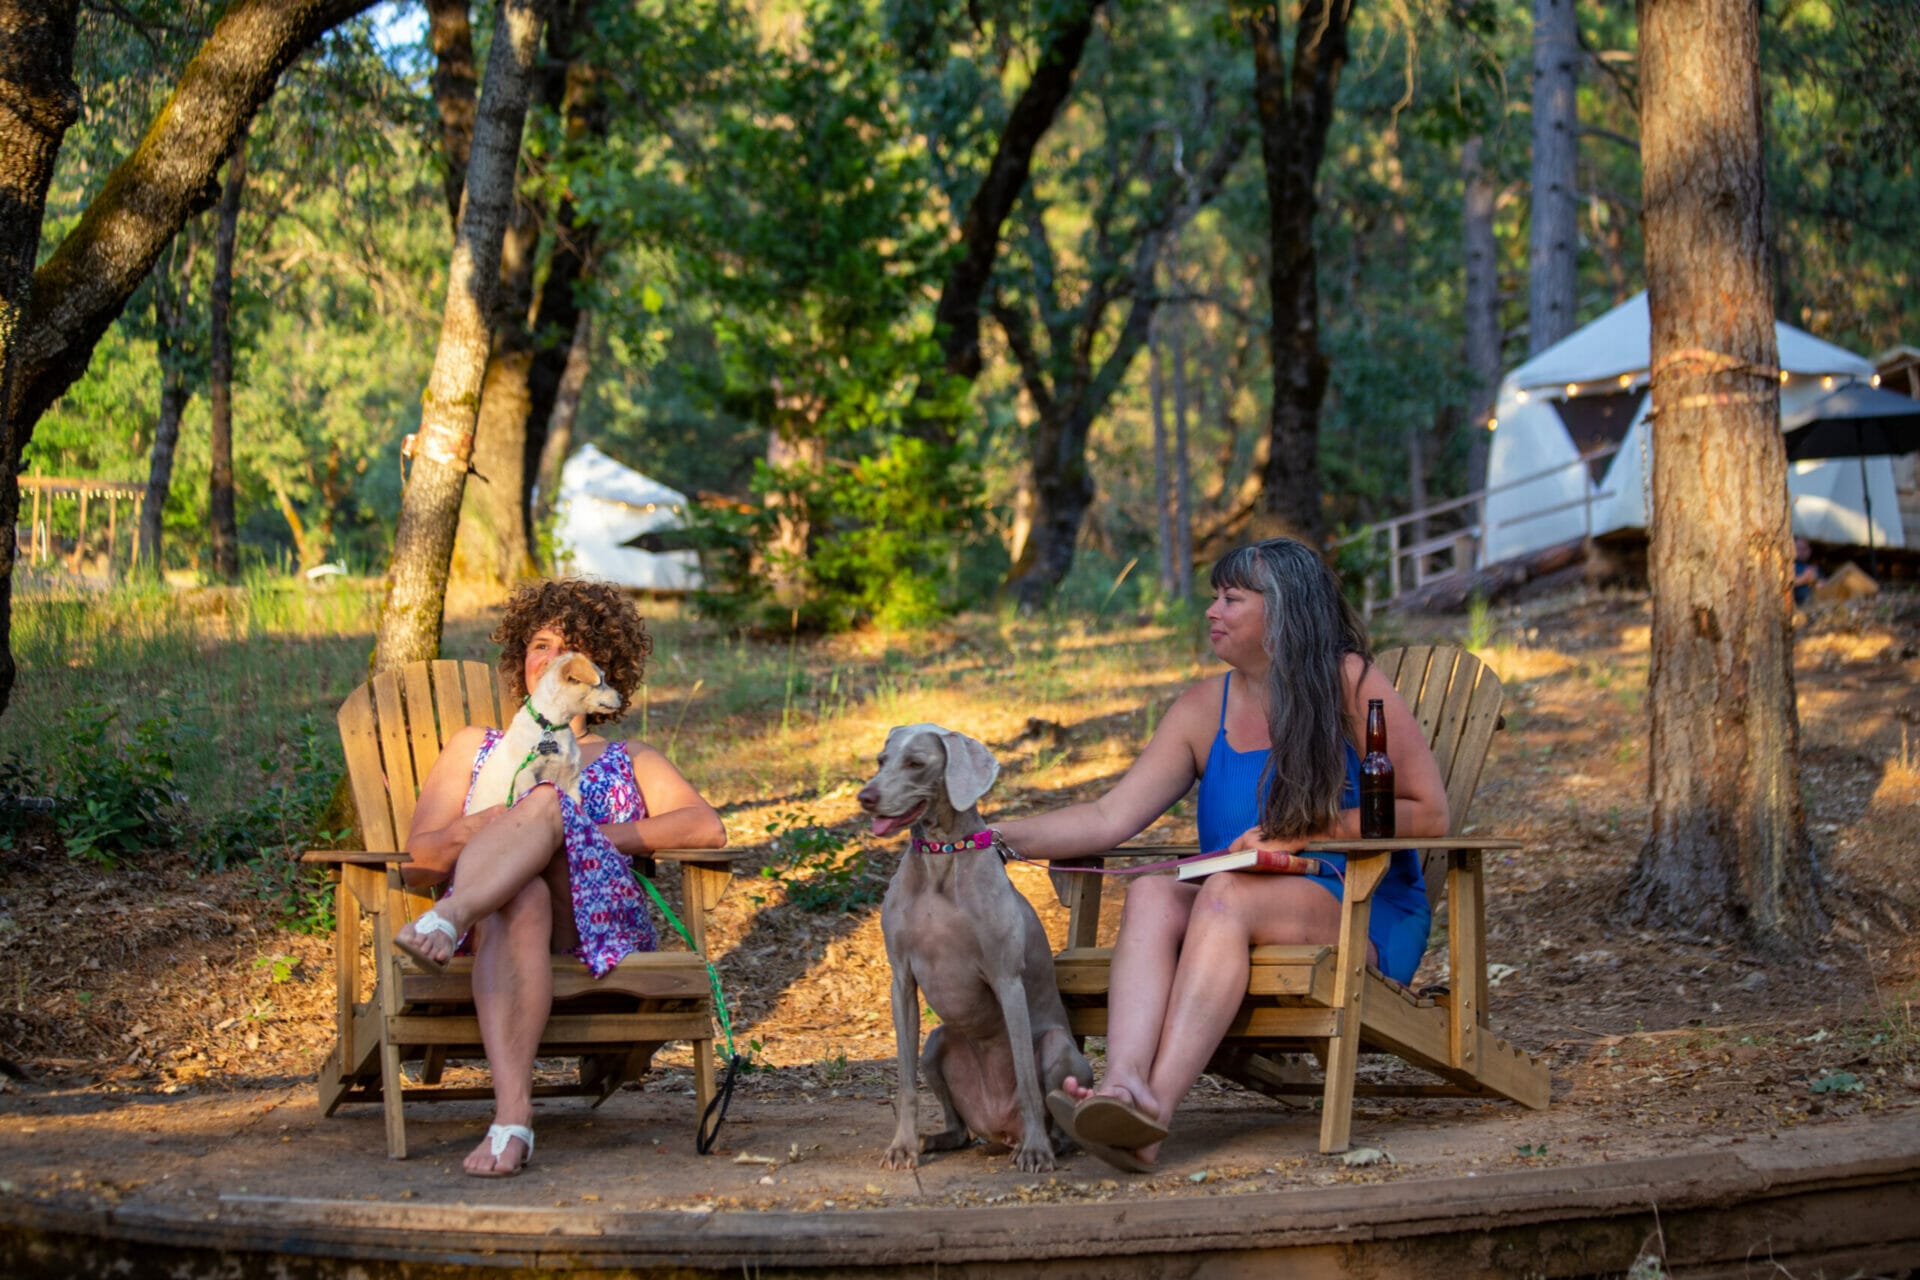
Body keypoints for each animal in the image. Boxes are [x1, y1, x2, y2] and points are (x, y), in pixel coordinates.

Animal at [860, 721, 1090, 1174]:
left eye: (915, 763)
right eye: (881, 761)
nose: (866, 797)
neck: (940, 857)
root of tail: (999, 1129)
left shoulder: (1007, 980)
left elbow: (1025, 1076)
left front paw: (1037, 1152)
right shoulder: (901, 980)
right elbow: (905, 1080)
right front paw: (903, 1147)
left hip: (1059, 1046)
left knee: (1056, 1113)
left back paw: (1041, 1144)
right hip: (936, 1042)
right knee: (959, 1130)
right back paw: (936, 1139)